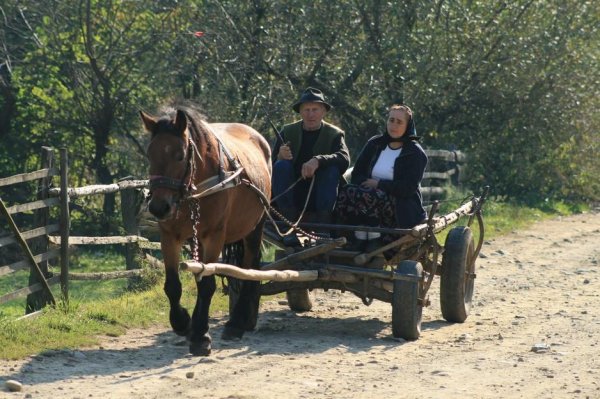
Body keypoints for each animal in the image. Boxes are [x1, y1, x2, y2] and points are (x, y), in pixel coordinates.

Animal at [139, 104, 270, 356]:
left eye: (180, 155)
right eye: (149, 154)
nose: (159, 207)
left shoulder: (214, 236)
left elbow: (207, 285)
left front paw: (201, 336)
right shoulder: (170, 236)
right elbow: (173, 286)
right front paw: (183, 323)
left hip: (255, 228)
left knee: (250, 268)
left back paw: (237, 323)